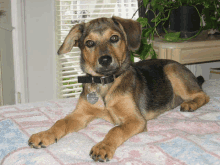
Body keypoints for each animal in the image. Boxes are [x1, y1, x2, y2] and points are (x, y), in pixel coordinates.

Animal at [27, 16, 210, 162]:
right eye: (89, 43)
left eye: (114, 38)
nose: (105, 60)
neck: (105, 84)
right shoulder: (80, 115)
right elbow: (60, 122)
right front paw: (45, 134)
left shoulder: (135, 119)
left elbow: (115, 130)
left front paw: (103, 147)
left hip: (171, 69)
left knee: (204, 95)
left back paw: (190, 104)